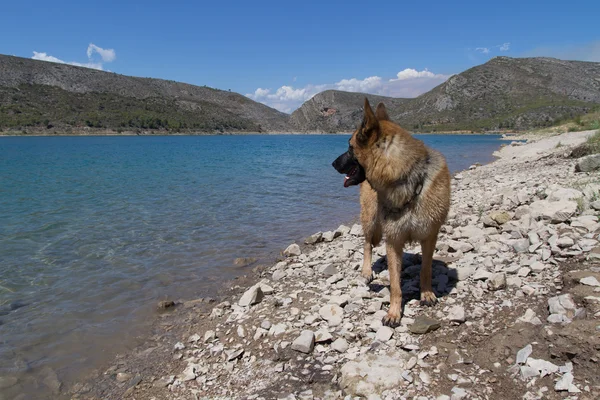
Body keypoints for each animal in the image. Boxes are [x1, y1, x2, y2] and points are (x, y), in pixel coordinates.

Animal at [332, 98, 450, 326]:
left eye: (350, 147)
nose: (332, 163)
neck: (406, 180)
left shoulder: (429, 236)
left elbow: (426, 269)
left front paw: (426, 294)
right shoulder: (393, 241)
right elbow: (395, 283)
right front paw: (394, 312)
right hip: (370, 220)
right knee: (367, 243)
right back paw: (366, 270)